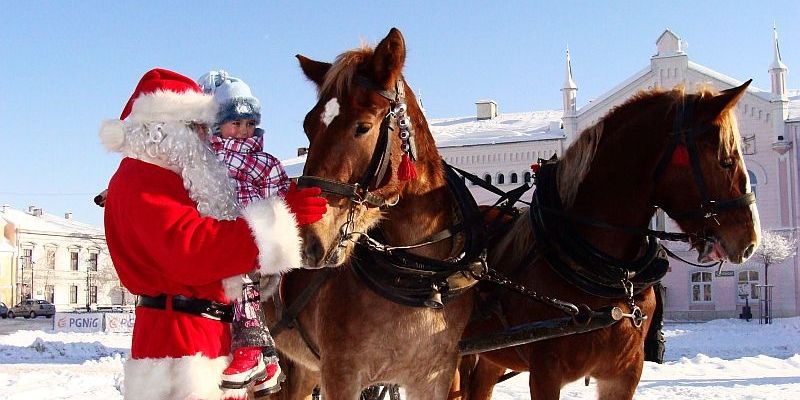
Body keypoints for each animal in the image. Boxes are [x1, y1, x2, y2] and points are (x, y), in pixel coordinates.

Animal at [266, 28, 484, 400]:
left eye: (363, 127)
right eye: (309, 127)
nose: (306, 241)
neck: (418, 277)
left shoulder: (435, 376)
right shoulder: (341, 375)